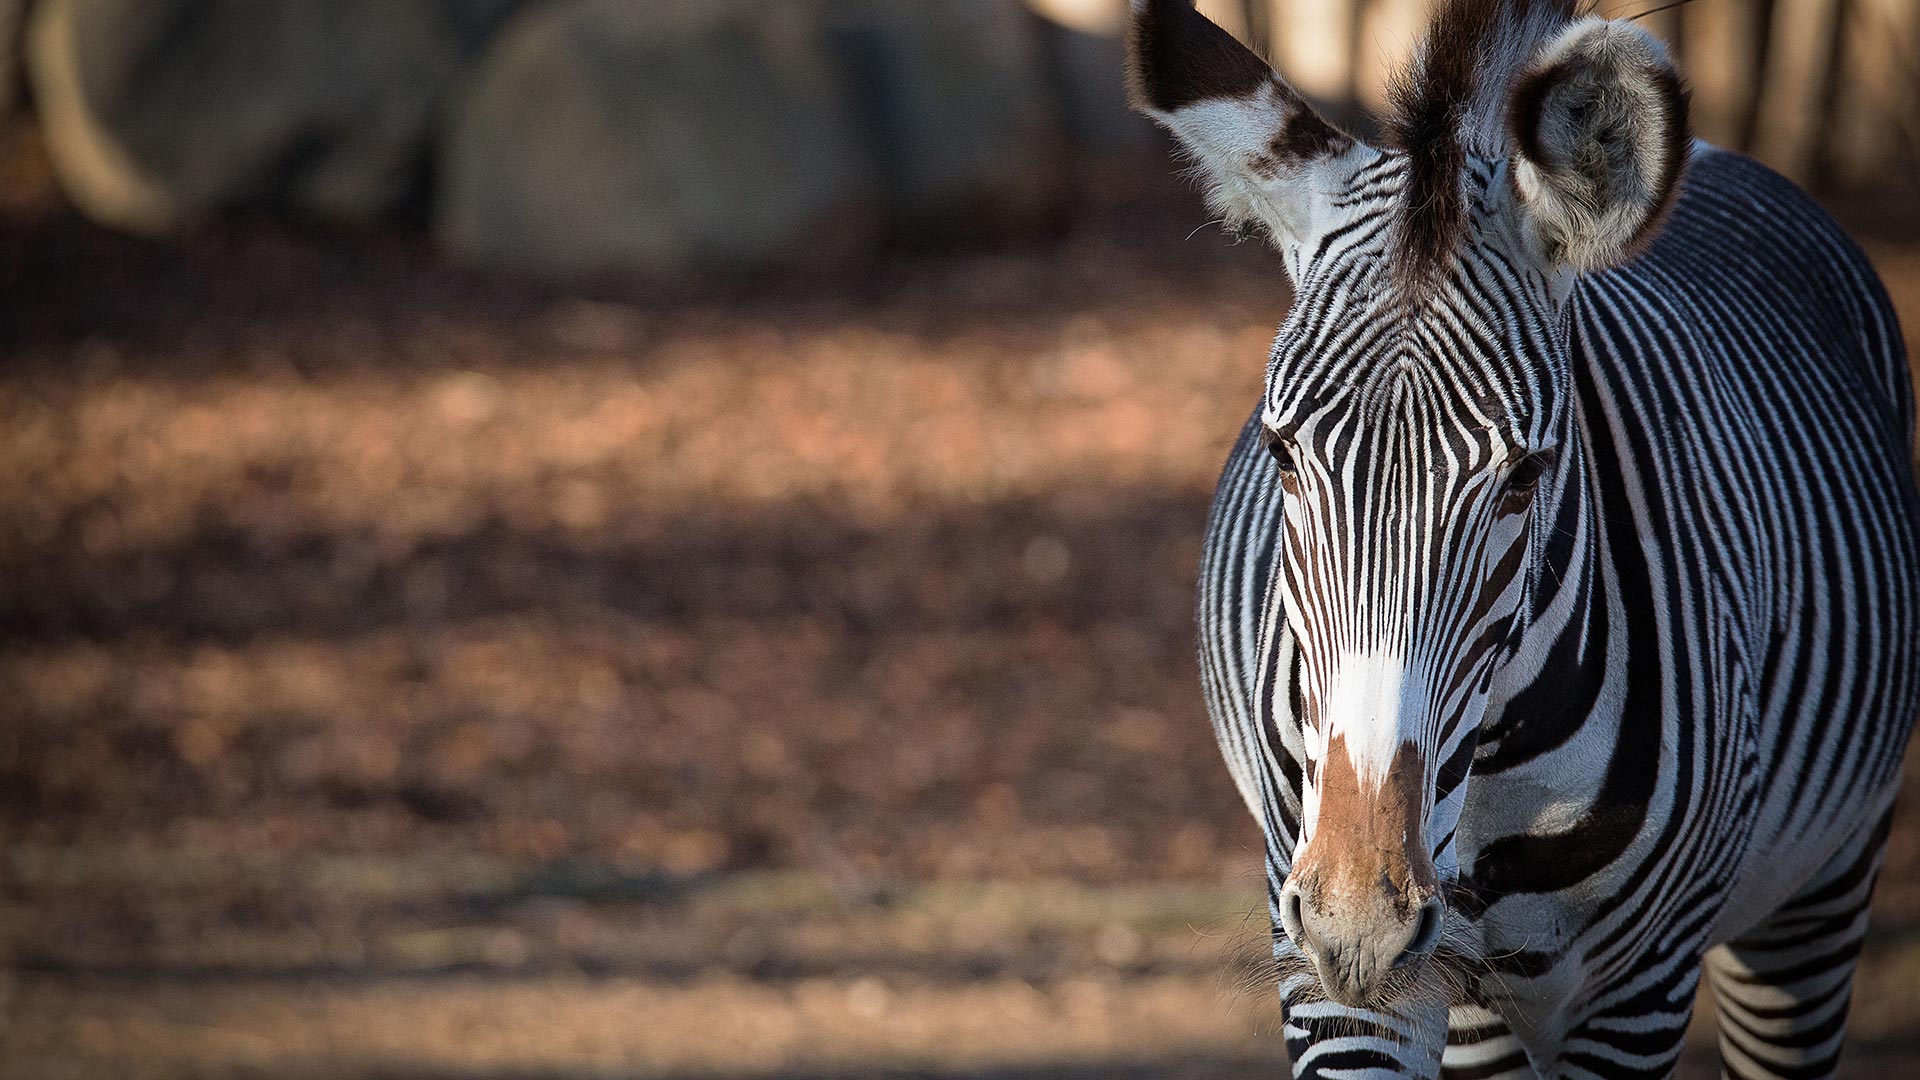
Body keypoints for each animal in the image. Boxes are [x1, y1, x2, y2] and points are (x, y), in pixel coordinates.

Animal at [1121, 0, 1920, 1068]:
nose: (1358, 924)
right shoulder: (1345, 990)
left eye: (1525, 476)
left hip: (1820, 890)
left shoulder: (1641, 988)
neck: (1491, 780)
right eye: (1284, 455)